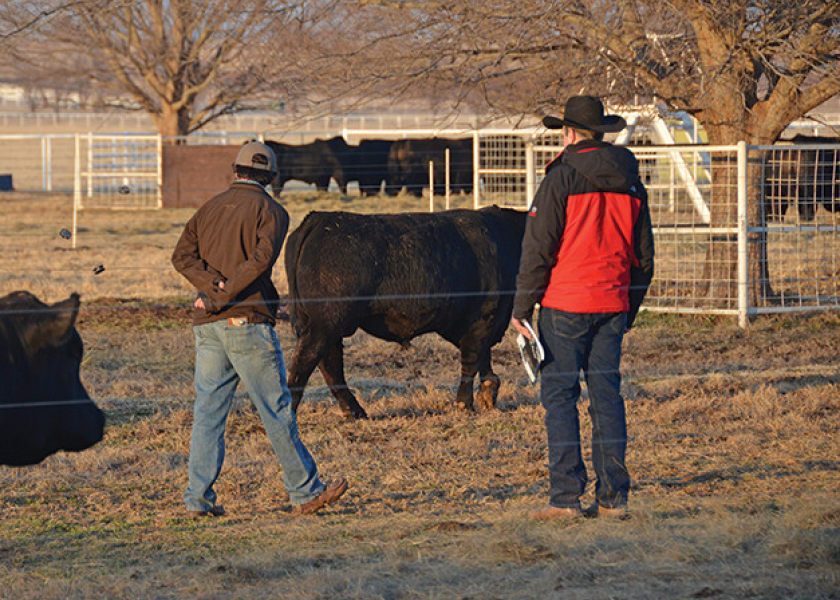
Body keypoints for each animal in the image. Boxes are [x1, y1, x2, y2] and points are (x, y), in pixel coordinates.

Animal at [286, 205, 528, 418]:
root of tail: (321, 218)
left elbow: (482, 357)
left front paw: (487, 394)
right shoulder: (484, 317)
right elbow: (471, 359)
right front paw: (464, 404)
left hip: (327, 326)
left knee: (329, 364)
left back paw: (354, 411)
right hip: (326, 324)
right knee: (306, 362)